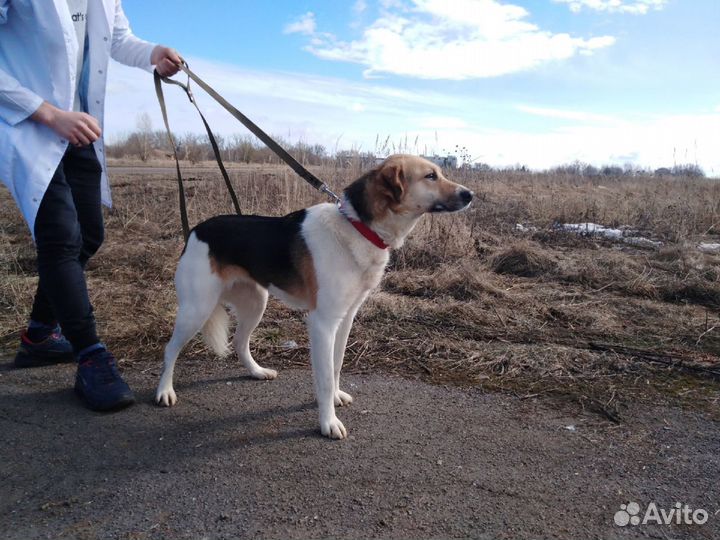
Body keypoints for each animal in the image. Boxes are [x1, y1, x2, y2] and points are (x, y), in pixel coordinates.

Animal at [157, 155, 472, 438]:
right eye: (430, 176)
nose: (470, 195)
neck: (359, 228)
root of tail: (195, 230)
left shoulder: (345, 319)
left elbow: (336, 365)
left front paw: (335, 398)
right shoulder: (322, 324)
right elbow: (324, 378)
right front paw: (328, 423)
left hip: (256, 303)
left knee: (239, 342)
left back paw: (257, 371)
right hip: (196, 309)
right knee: (170, 350)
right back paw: (164, 391)